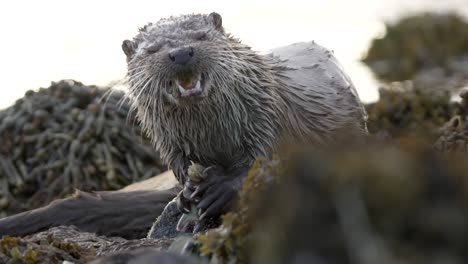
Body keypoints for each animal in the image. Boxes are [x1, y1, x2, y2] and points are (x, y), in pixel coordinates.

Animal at [122, 12, 368, 223]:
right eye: (152, 50)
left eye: (201, 36)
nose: (181, 53)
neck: (212, 135)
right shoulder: (170, 143)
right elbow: (180, 167)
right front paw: (185, 193)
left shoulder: (266, 117)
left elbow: (263, 158)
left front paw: (222, 190)